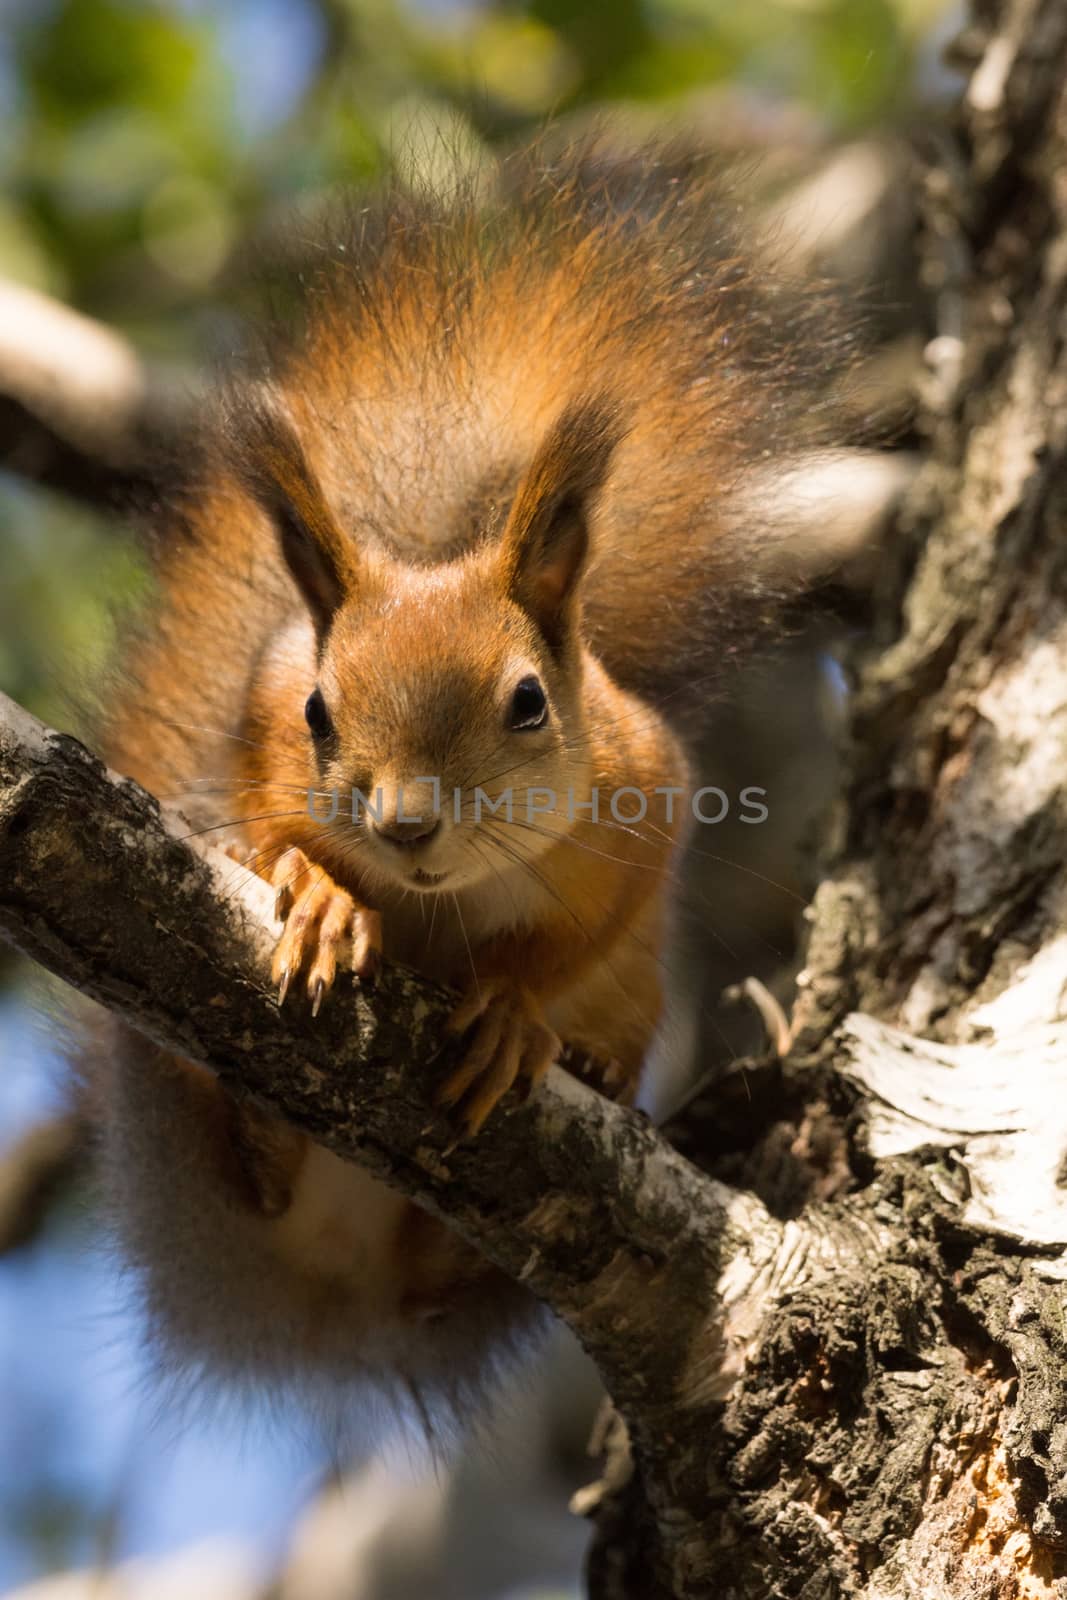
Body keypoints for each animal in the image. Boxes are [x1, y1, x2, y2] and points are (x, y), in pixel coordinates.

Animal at [81, 134, 851, 1414]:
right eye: (317, 711)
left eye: (529, 702)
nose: (402, 827)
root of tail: (329, 1277)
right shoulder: (260, 722)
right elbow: (262, 814)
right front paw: (319, 893)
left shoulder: (647, 797)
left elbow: (589, 931)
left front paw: (515, 1012)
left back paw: (588, 1064)